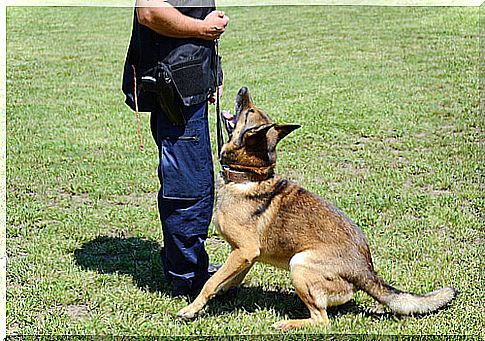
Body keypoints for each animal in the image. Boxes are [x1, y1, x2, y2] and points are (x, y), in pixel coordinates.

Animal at [176, 86, 456, 328]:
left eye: (248, 111)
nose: (243, 89)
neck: (249, 175)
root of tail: (366, 272)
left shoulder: (243, 251)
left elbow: (210, 282)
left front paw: (192, 309)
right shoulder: (246, 256)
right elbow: (229, 279)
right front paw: (222, 292)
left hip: (299, 265)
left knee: (322, 320)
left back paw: (288, 324)